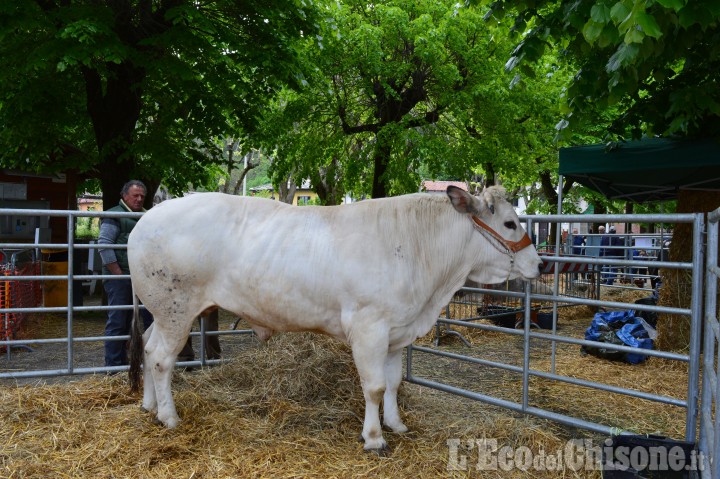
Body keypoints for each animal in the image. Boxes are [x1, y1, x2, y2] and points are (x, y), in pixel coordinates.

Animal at [128, 185, 540, 454]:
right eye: (509, 223)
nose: (540, 264)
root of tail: (146, 219)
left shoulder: (396, 332)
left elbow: (393, 383)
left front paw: (396, 423)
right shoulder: (369, 328)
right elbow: (374, 386)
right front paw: (374, 438)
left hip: (160, 312)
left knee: (147, 347)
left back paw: (149, 406)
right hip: (176, 309)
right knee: (162, 358)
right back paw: (168, 416)